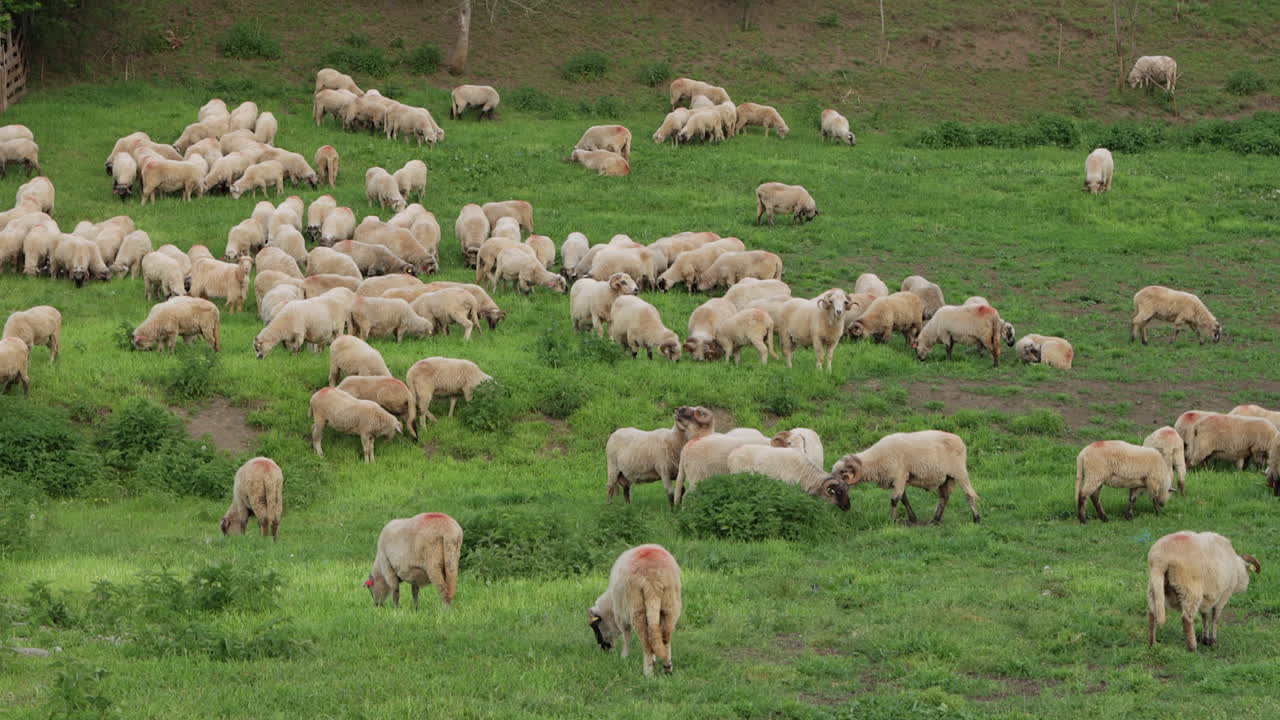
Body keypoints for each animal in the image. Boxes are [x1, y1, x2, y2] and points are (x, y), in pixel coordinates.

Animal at [588, 544, 682, 677]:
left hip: (637, 608)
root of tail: (652, 576)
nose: (603, 649)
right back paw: (667, 667)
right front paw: (654, 658)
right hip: (671, 605)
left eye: (595, 627)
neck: (610, 605)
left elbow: (626, 635)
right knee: (665, 638)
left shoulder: (620, 615)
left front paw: (624, 657)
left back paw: (648, 673)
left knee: (646, 642)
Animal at [832, 430, 979, 524]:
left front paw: (891, 521)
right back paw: (935, 520)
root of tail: (960, 441)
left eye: (842, 472)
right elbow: (904, 499)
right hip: (946, 478)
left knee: (969, 494)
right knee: (944, 497)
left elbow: (894, 500)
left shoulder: (900, 476)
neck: (875, 460)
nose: (831, 484)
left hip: (959, 472)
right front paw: (913, 519)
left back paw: (976, 519)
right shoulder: (899, 480)